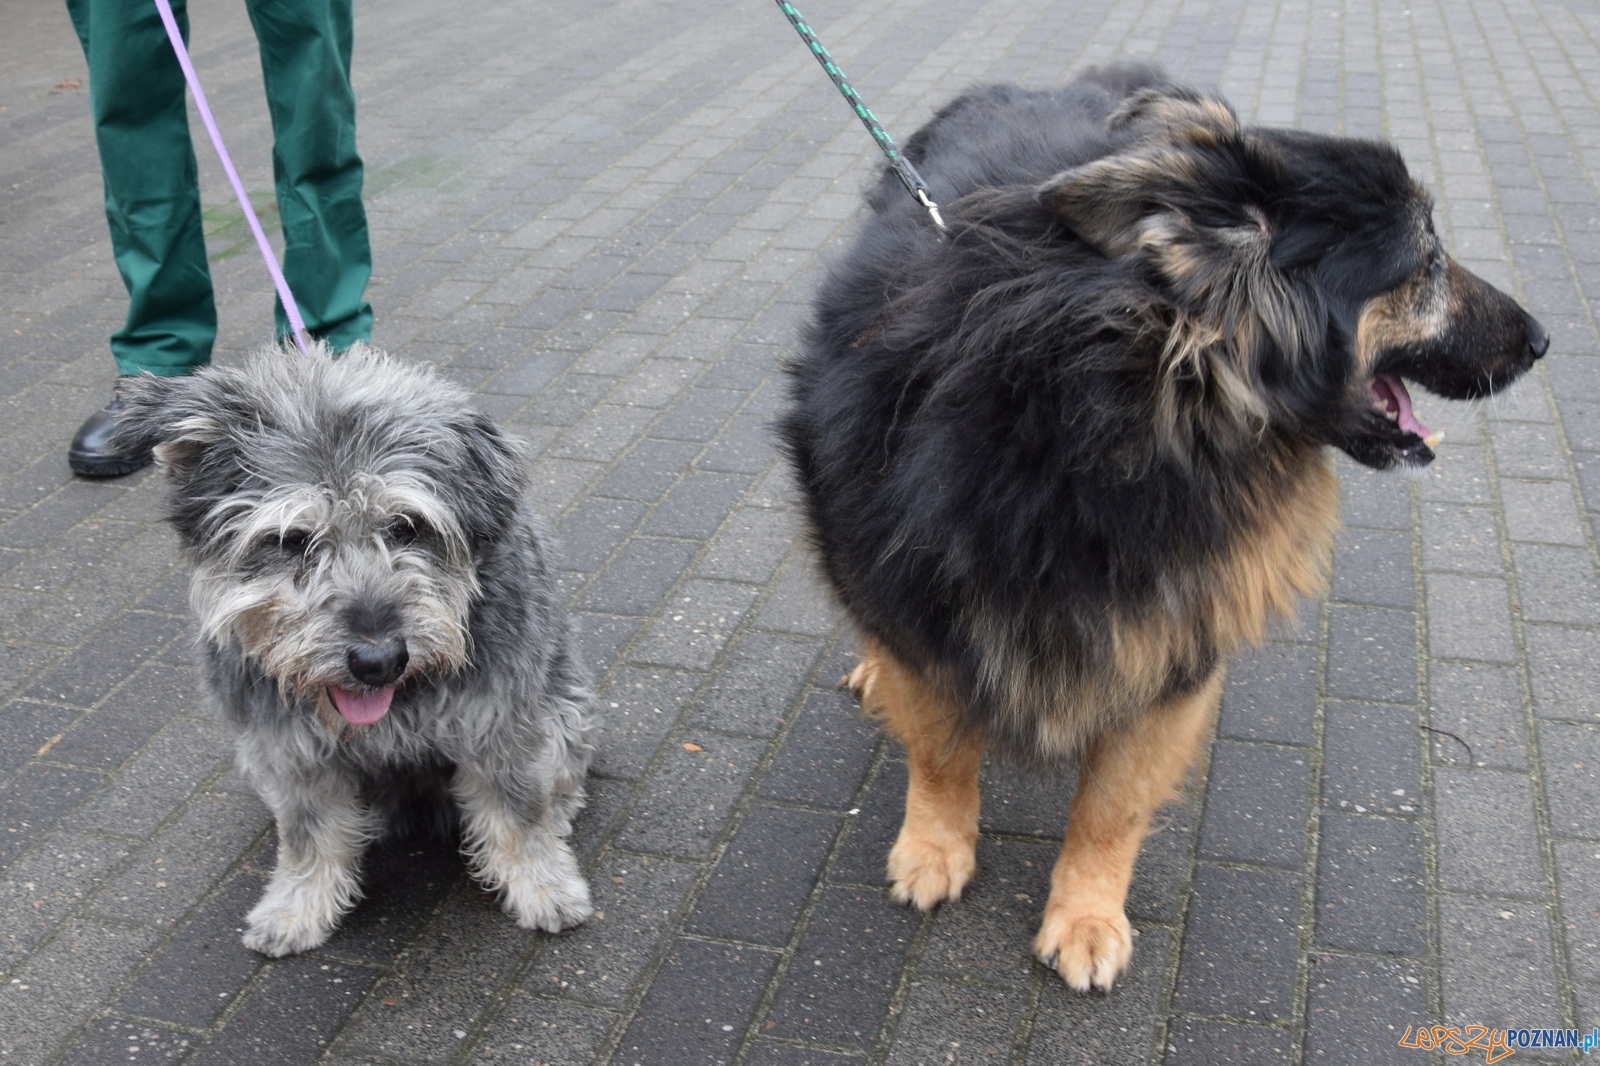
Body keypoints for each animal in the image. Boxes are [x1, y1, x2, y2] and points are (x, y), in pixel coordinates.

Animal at [112, 342, 598, 953]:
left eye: (407, 526)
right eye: (290, 540)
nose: (378, 661)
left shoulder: (500, 726)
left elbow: (519, 814)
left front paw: (543, 887)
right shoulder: (289, 752)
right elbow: (308, 836)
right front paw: (296, 908)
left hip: (564, 709)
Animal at [780, 68, 1542, 985]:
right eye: (1426, 262)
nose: (1543, 341)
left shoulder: (1176, 635)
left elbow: (1112, 804)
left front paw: (1085, 916)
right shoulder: (916, 589)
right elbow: (937, 747)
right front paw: (933, 848)